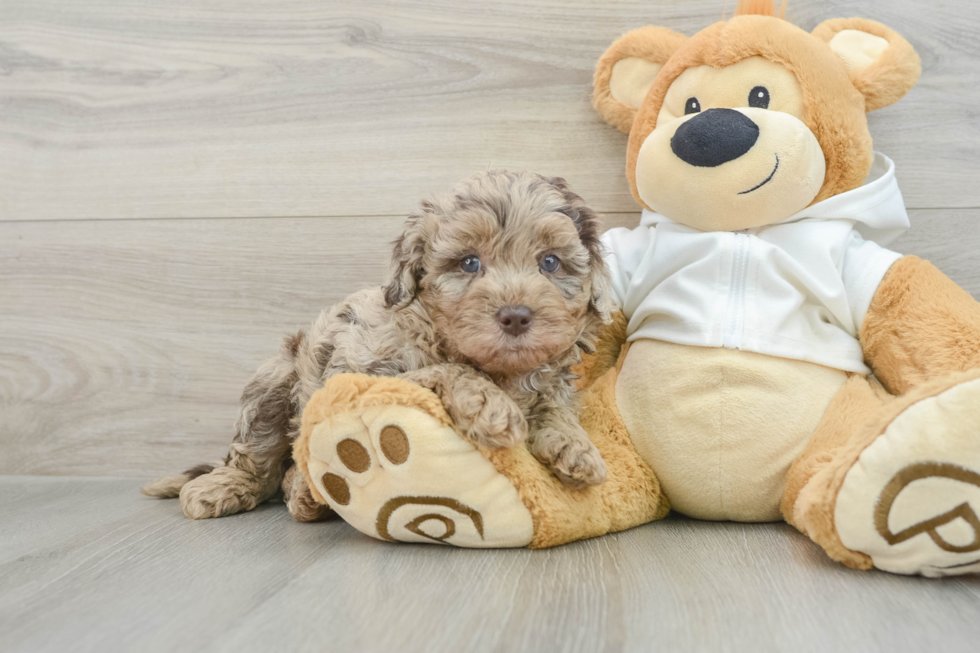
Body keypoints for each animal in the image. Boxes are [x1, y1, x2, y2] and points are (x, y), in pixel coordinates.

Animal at [140, 171, 612, 524]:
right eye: (468, 263)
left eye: (550, 262)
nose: (516, 316)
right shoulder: (369, 372)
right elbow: (448, 371)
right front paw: (489, 406)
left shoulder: (552, 381)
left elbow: (556, 407)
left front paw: (577, 448)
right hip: (272, 386)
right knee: (259, 458)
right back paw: (236, 488)